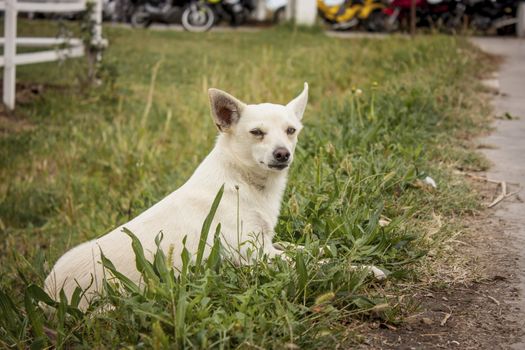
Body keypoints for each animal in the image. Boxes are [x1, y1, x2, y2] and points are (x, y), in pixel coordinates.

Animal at [45, 82, 310, 308]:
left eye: (291, 131)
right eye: (256, 132)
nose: (283, 154)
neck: (243, 180)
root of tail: (46, 294)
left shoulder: (267, 243)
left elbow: (300, 248)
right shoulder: (256, 254)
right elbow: (301, 258)